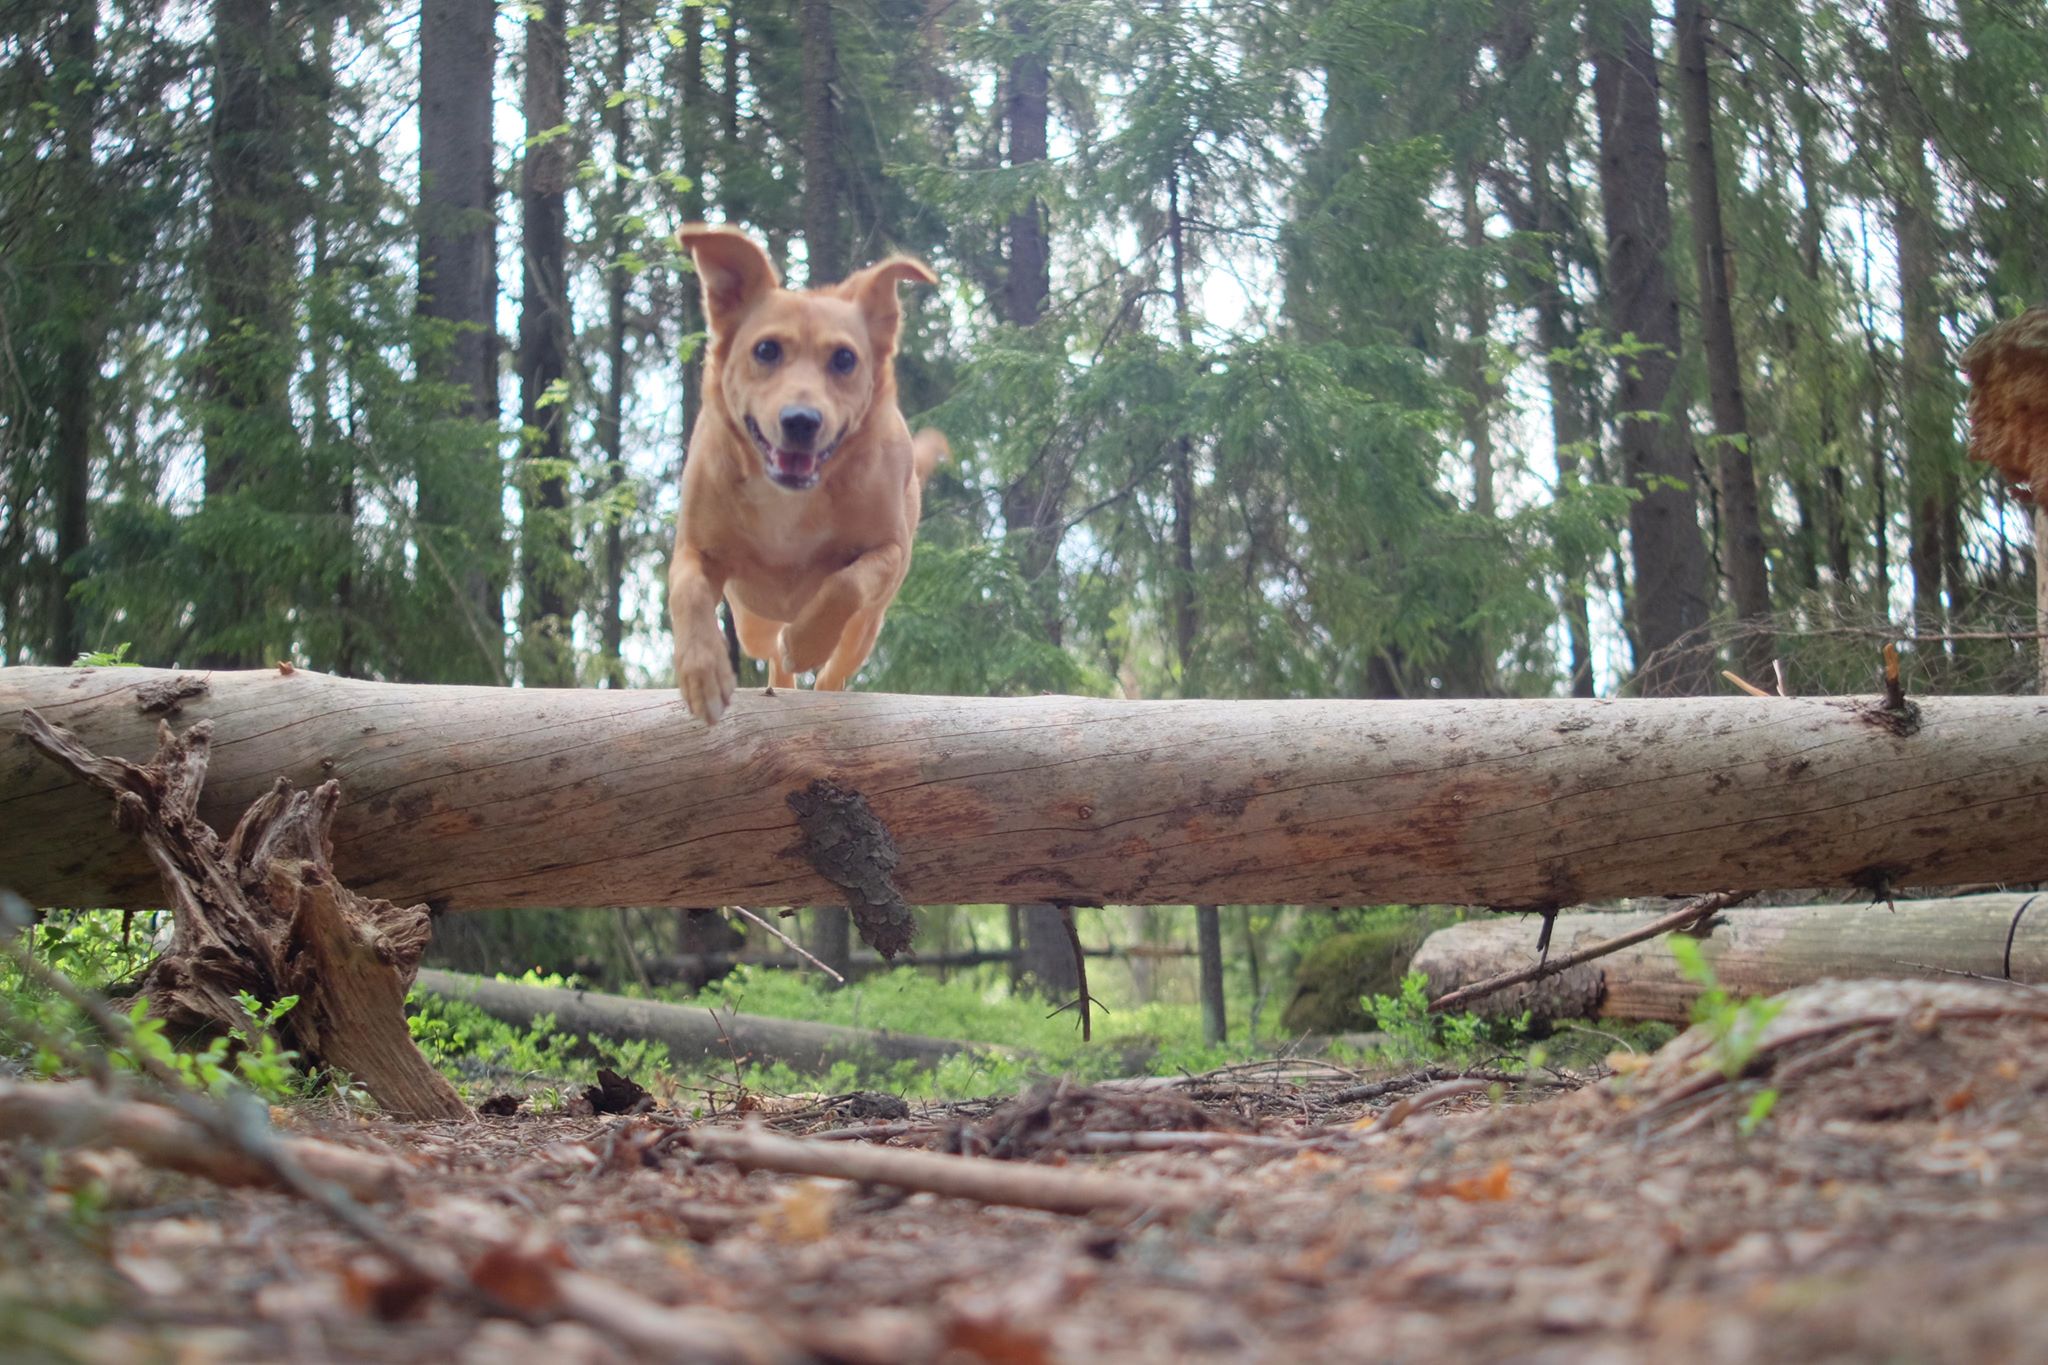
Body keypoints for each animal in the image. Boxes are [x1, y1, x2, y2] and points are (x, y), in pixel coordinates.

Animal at [671, 222, 942, 724]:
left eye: (844, 359)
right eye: (766, 349)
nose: (801, 421)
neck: (790, 501)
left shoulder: (888, 550)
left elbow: (847, 583)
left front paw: (805, 642)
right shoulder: (696, 547)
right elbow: (689, 589)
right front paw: (702, 674)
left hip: (865, 629)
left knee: (837, 664)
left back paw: (819, 676)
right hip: (751, 617)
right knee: (768, 652)